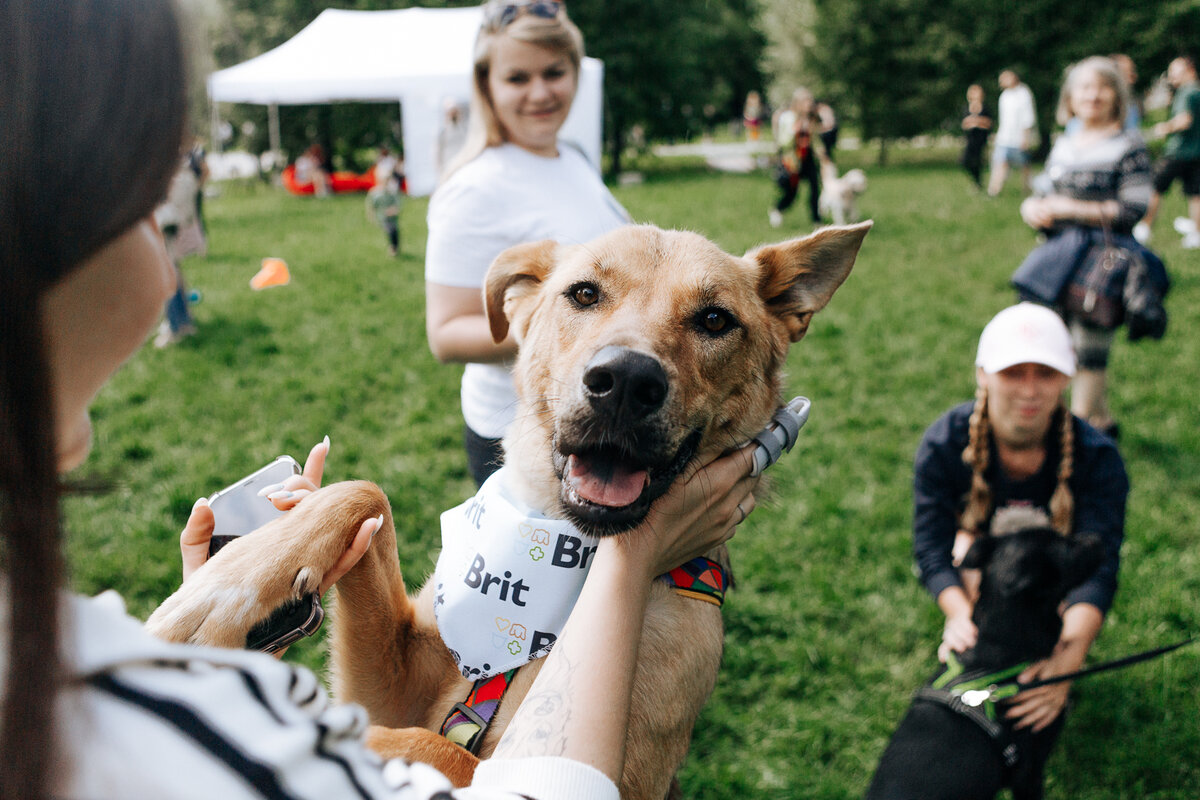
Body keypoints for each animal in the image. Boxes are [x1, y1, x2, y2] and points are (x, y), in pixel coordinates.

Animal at [145, 220, 873, 800]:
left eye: (716, 320)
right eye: (584, 294)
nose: (625, 382)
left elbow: (432, 749)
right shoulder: (388, 688)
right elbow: (366, 493)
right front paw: (228, 585)